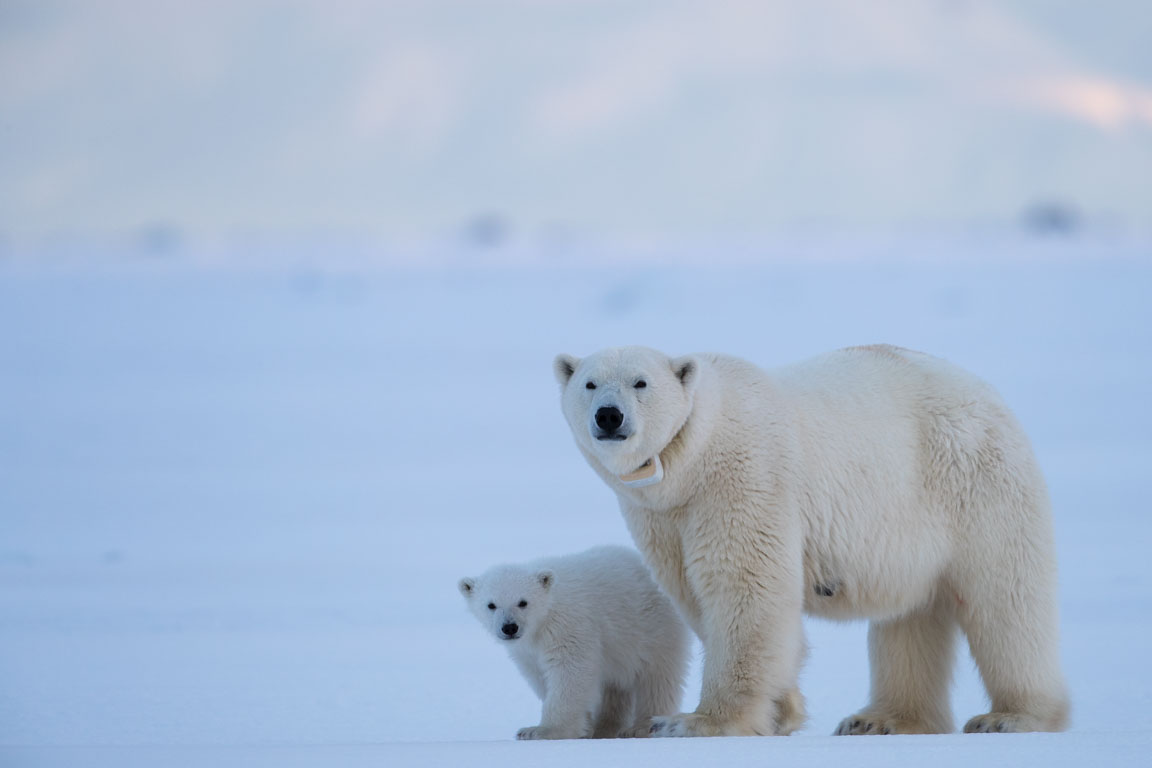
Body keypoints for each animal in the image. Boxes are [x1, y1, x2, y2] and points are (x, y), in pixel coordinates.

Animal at [552, 345, 1064, 736]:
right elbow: (693, 596)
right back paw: (880, 721)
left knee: (1005, 601)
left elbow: (744, 587)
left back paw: (1011, 717)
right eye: (590, 384)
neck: (691, 460)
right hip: (912, 530)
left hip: (974, 483)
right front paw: (784, 710)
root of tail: (990, 395)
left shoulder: (742, 479)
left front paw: (692, 722)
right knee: (910, 616)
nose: (609, 416)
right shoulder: (661, 518)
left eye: (640, 382)